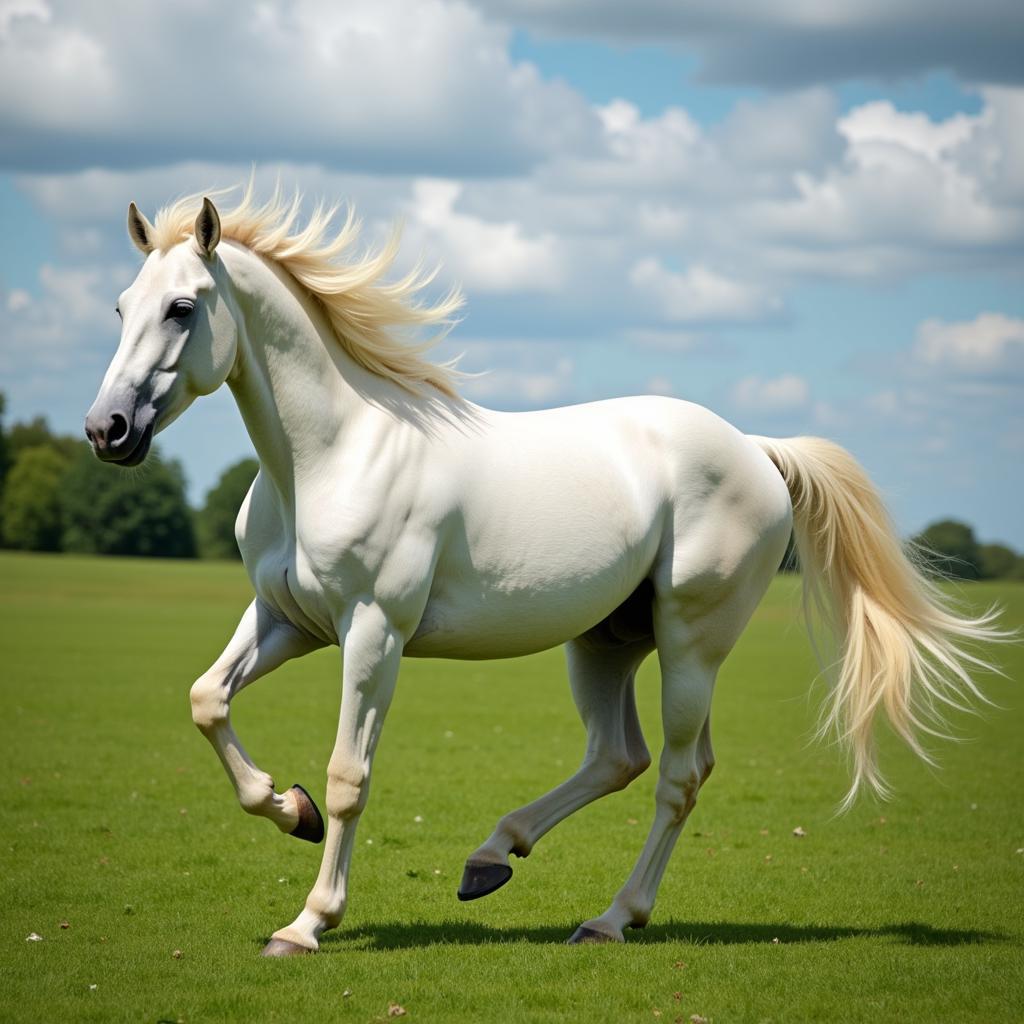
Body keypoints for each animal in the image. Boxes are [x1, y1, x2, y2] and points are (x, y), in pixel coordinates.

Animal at [83, 188, 1003, 954]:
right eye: (122, 305)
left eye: (182, 307)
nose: (107, 429)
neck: (333, 456)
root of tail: (757, 450)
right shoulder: (286, 620)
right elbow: (207, 701)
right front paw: (289, 808)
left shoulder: (373, 634)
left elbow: (351, 776)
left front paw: (307, 923)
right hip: (605, 643)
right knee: (620, 757)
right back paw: (491, 858)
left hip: (691, 645)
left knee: (677, 776)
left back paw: (609, 919)